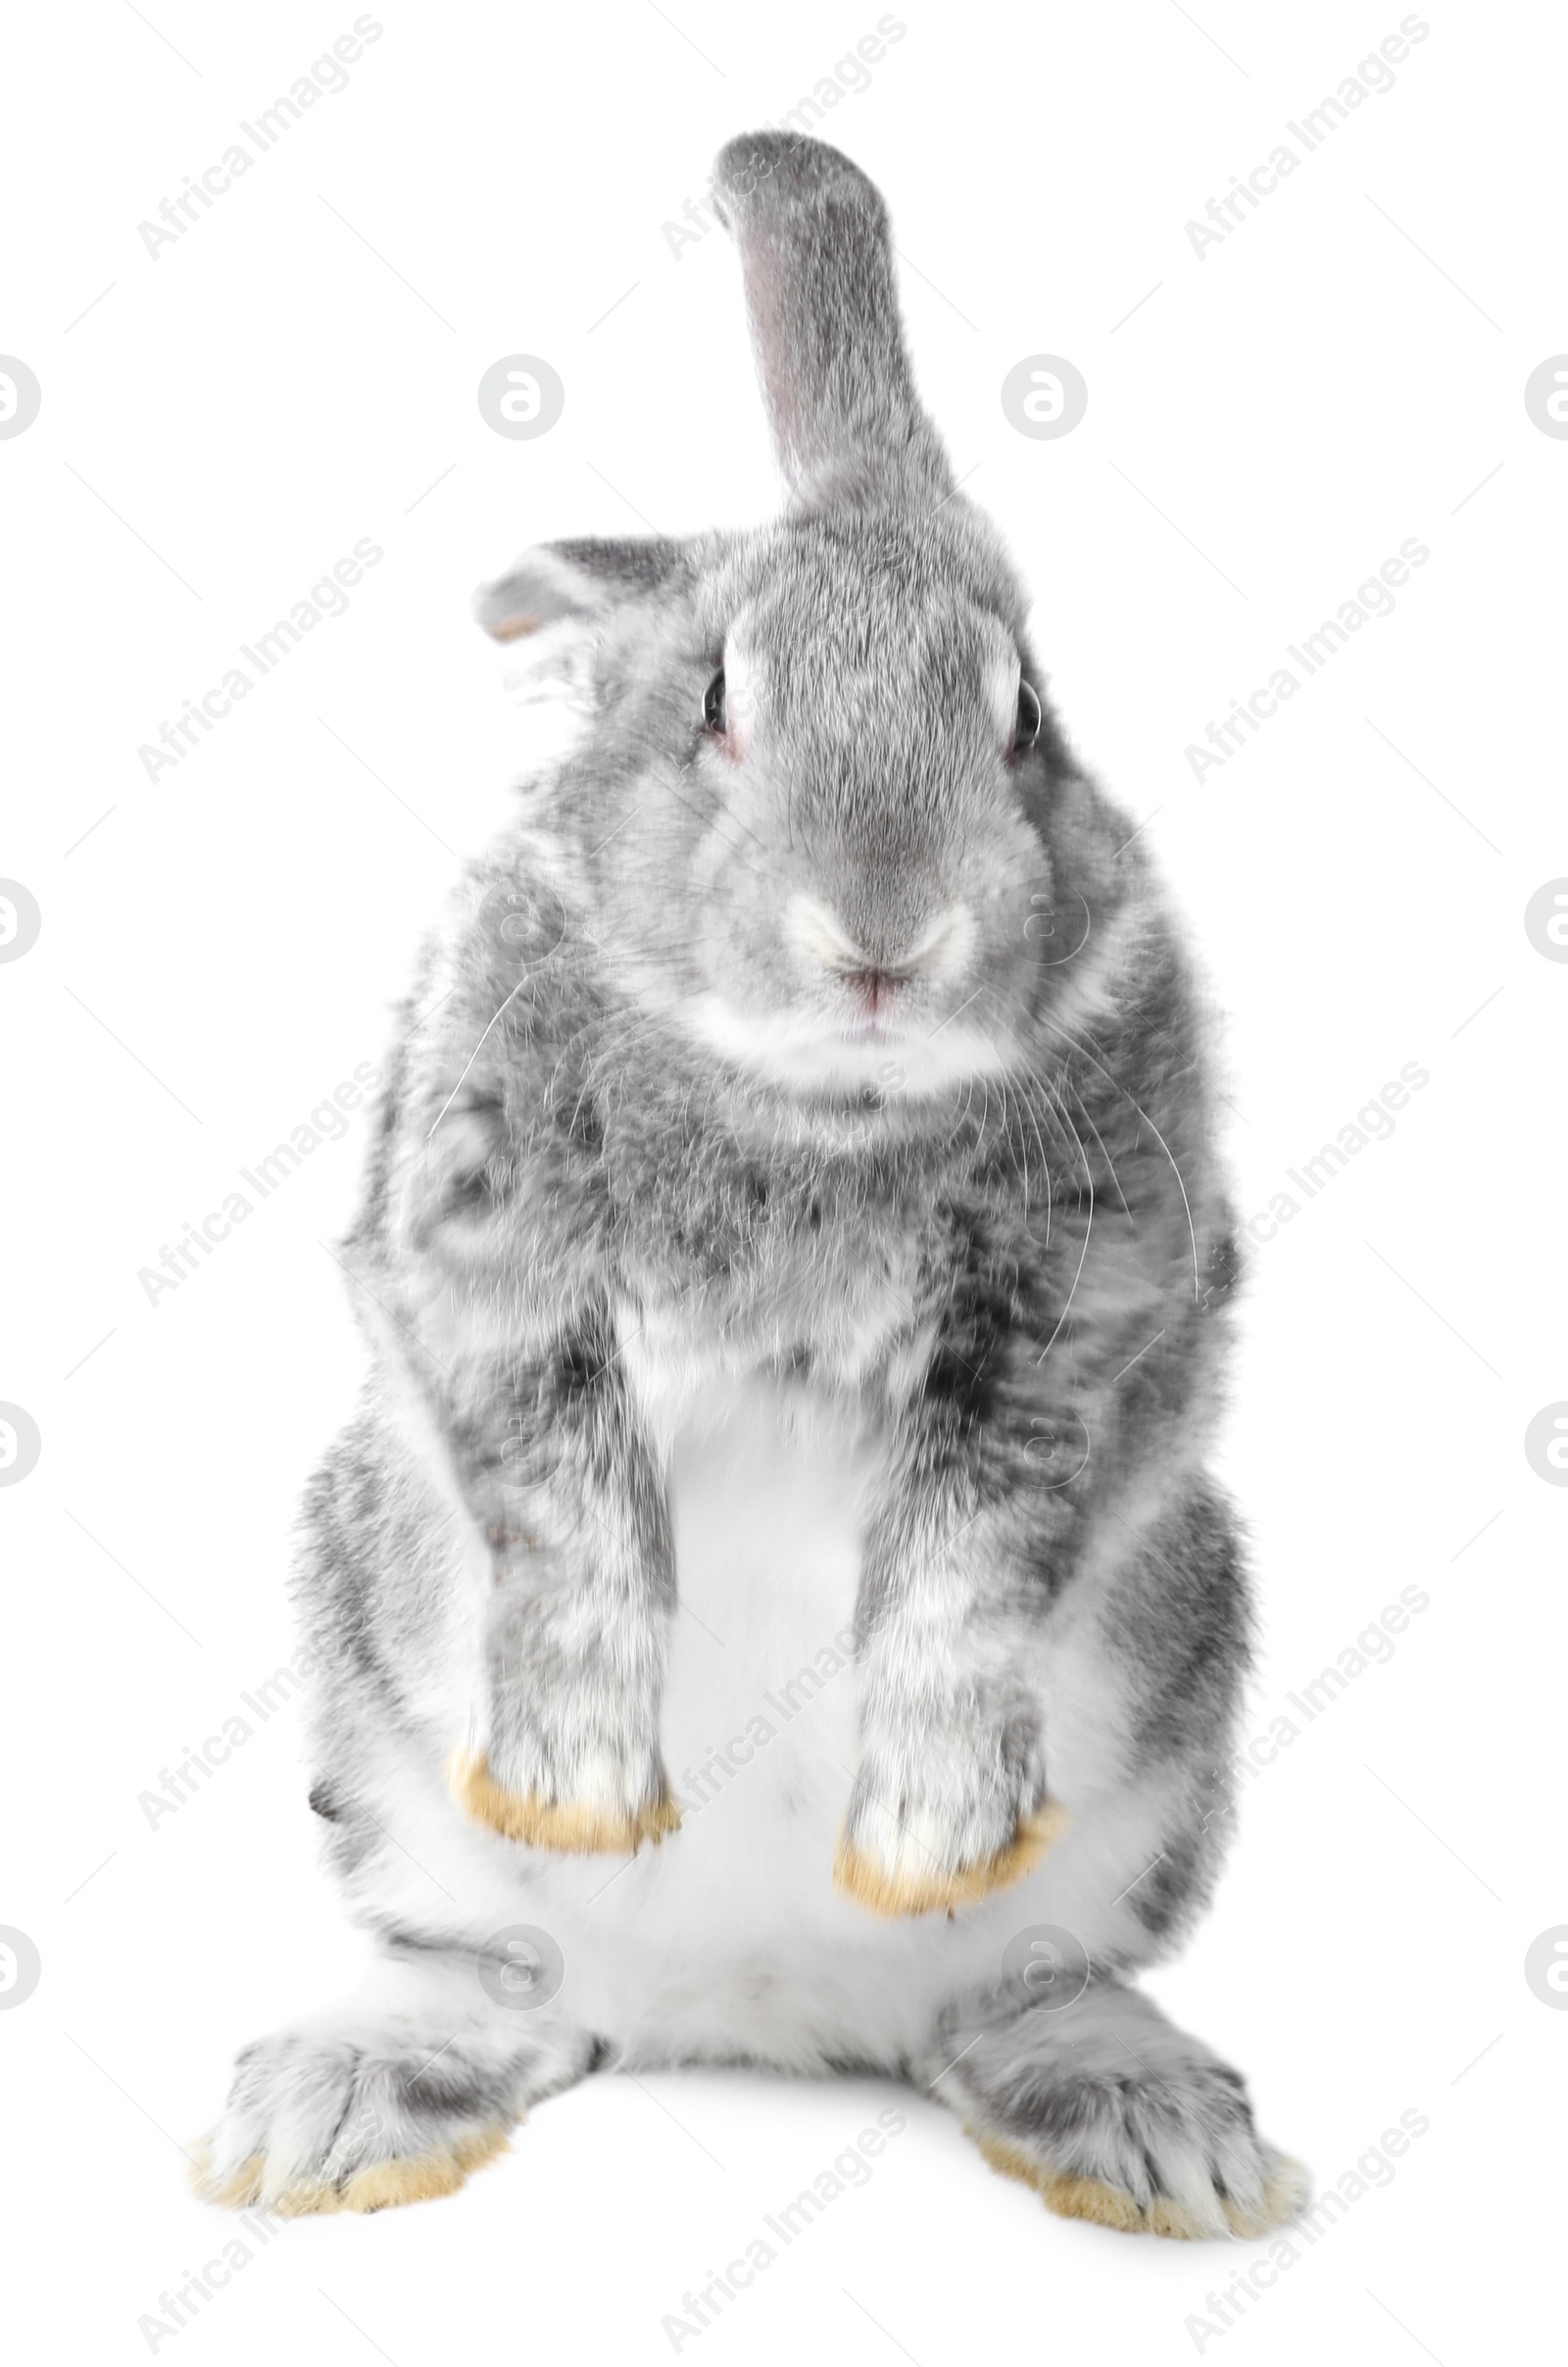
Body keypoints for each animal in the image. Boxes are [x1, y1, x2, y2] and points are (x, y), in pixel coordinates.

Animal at [192, 124, 1296, 2234]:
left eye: (1024, 714)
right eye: (717, 699)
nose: (884, 934)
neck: (818, 1109)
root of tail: (750, 2010)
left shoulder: (1083, 1330)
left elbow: (962, 1568)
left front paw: (927, 1831)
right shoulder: (489, 1285)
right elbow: (573, 1530)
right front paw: (574, 1790)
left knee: (1021, 1980)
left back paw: (1148, 2128)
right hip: (374, 1698)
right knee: (496, 1971)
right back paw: (340, 2107)